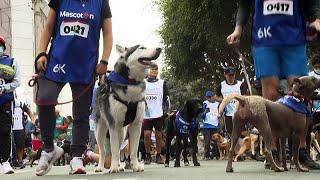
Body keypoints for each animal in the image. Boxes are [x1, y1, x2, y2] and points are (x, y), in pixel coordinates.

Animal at [94, 44, 161, 172]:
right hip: (100, 130)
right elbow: (114, 150)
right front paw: (113, 167)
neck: (131, 82)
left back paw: (120, 166)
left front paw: (136, 166)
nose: (160, 49)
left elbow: (133, 150)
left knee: (120, 147)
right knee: (103, 150)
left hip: (122, 132)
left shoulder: (136, 125)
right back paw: (100, 166)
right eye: (142, 48)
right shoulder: (113, 125)